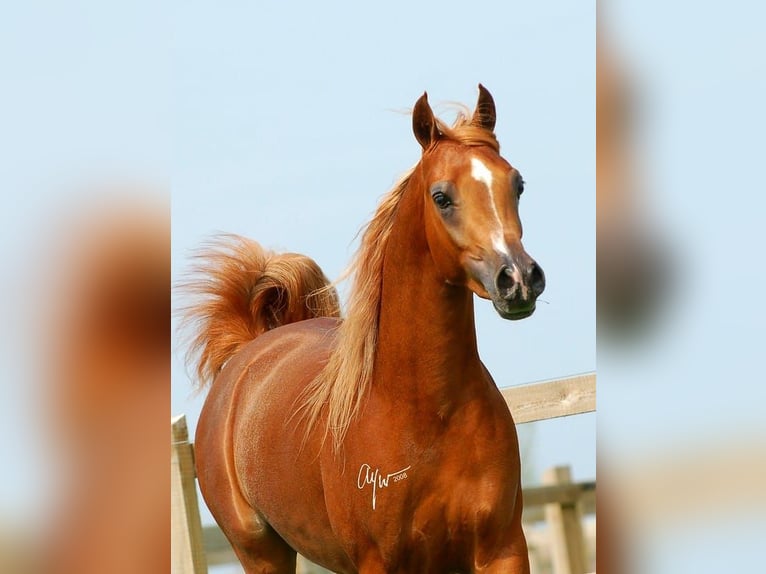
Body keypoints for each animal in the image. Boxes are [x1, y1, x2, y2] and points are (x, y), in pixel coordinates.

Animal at [181, 85, 545, 573]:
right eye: (441, 197)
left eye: (517, 184)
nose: (518, 279)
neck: (423, 413)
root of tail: (248, 351)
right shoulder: (379, 562)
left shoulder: (502, 549)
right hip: (261, 553)